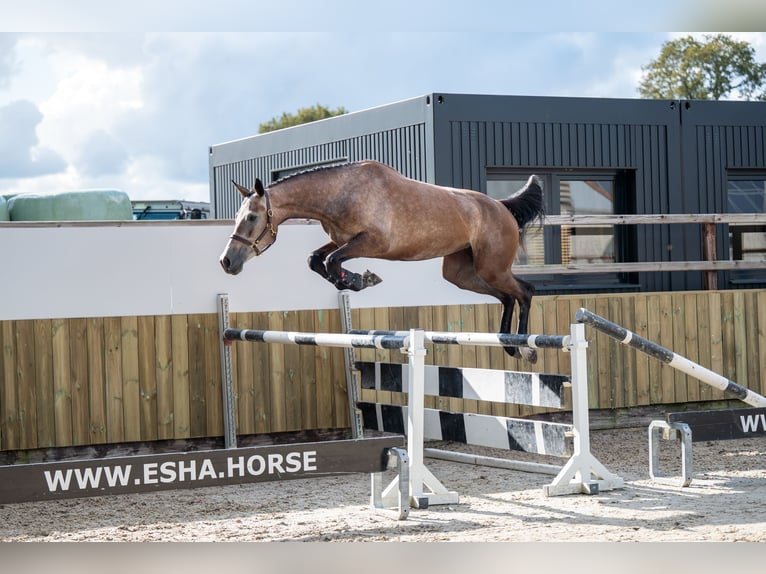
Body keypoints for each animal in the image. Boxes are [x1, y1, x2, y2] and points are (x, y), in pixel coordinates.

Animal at [220, 160, 544, 362]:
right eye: (238, 216)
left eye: (252, 218)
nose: (227, 262)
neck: (341, 194)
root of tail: (502, 207)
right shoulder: (342, 239)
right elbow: (317, 259)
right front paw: (354, 280)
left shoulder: (372, 242)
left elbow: (332, 261)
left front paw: (359, 280)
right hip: (462, 273)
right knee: (507, 297)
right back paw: (508, 345)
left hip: (492, 268)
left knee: (525, 292)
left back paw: (526, 349)